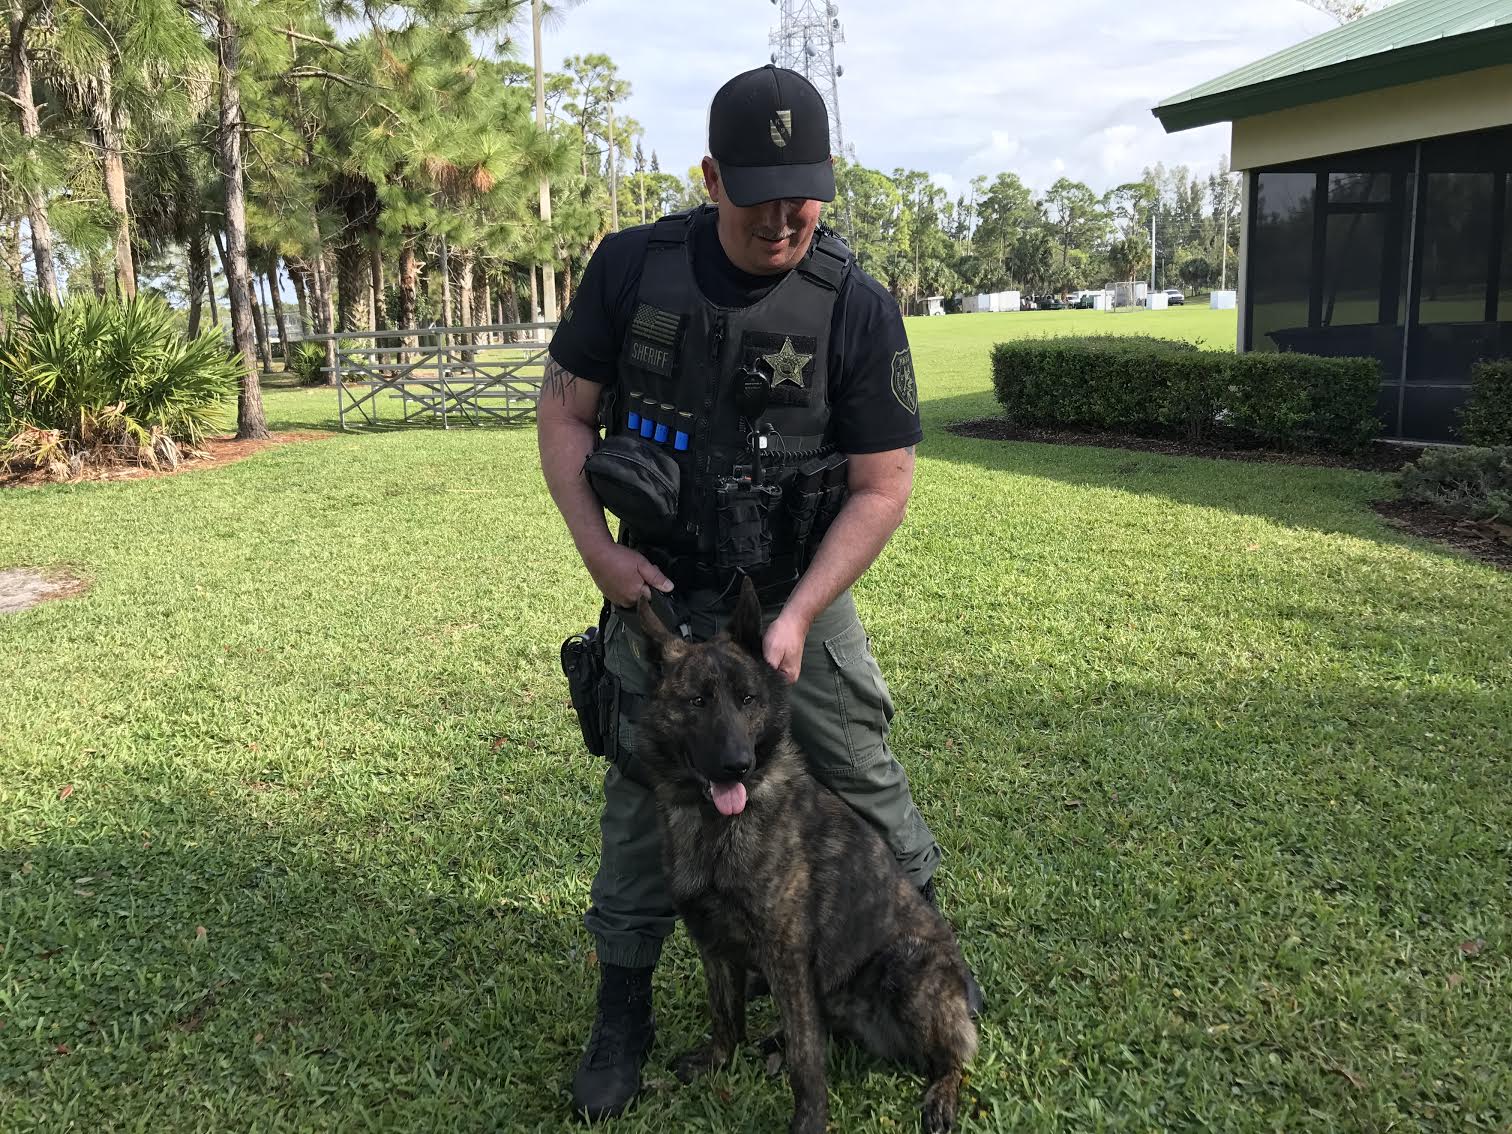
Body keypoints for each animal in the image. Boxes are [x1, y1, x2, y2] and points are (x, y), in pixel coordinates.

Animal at [635, 580, 979, 1130]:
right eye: (697, 701)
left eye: (747, 699)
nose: (737, 764)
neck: (716, 826)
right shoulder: (712, 942)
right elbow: (724, 1015)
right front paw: (720, 1060)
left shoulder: (785, 953)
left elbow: (806, 1058)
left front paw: (809, 1119)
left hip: (906, 966)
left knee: (952, 1057)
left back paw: (943, 1093)